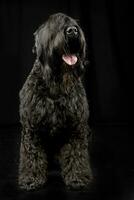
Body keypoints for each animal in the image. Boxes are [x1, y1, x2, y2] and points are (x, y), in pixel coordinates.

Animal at [18, 12, 92, 191]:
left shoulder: (76, 127)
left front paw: (77, 177)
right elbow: (32, 154)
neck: (56, 84)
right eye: (53, 26)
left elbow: (76, 152)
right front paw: (31, 178)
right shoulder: (31, 127)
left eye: (74, 24)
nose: (72, 31)